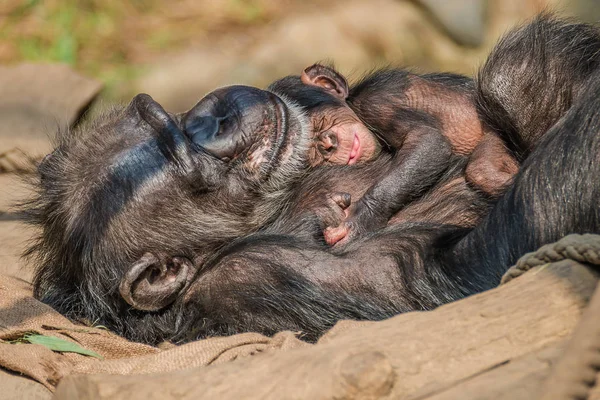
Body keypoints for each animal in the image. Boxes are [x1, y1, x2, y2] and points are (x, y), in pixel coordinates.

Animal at [266, 64, 516, 245]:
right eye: (310, 155)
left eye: (319, 123)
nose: (328, 144)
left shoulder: (376, 102)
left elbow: (426, 139)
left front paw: (360, 220)